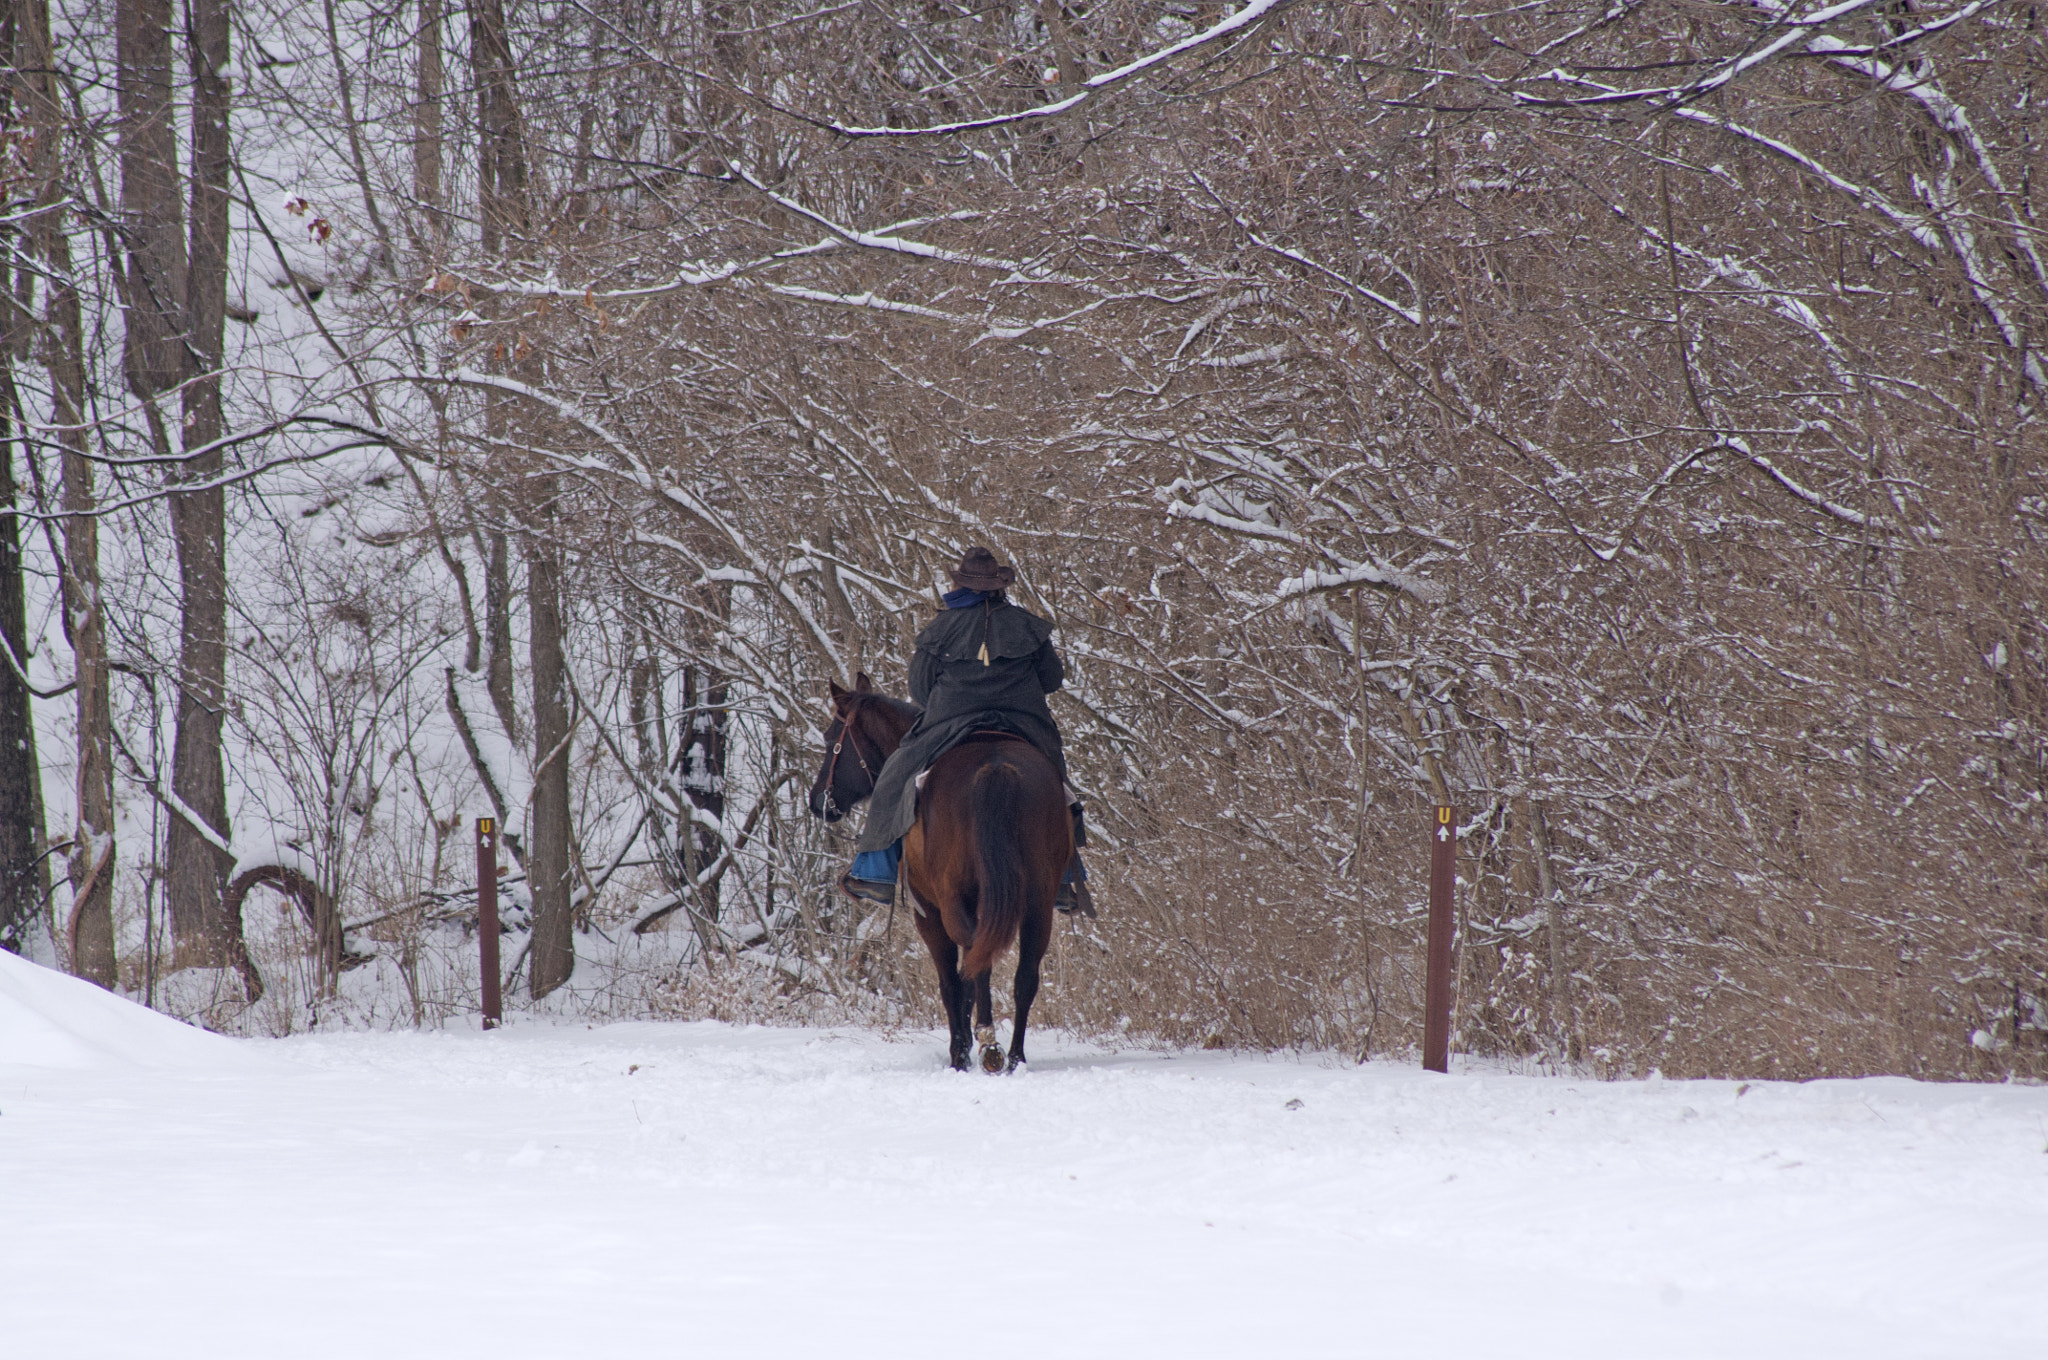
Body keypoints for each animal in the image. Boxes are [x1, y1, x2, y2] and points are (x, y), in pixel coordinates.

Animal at [806, 671, 1073, 1073]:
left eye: (830, 738)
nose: (818, 800)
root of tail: (996, 767)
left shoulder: (928, 911)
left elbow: (951, 983)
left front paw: (959, 1053)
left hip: (952, 902)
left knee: (976, 962)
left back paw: (989, 1047)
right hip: (1039, 905)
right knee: (1024, 975)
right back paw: (1014, 1058)